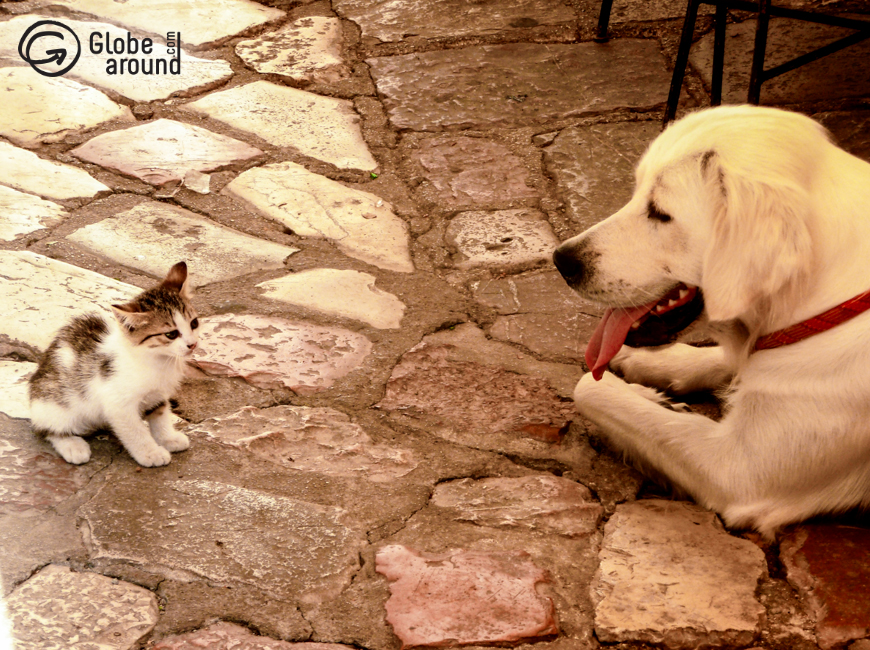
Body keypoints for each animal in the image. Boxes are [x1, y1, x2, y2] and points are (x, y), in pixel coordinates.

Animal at [29, 261, 199, 467]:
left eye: (194, 323)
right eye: (171, 334)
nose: (192, 344)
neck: (157, 359)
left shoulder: (157, 394)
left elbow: (161, 417)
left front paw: (168, 438)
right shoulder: (118, 404)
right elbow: (135, 431)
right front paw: (150, 453)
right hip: (56, 405)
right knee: (47, 429)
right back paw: (72, 446)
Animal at [553, 105, 870, 537]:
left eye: (660, 213)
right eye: (635, 191)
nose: (561, 260)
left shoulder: (738, 471)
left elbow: (588, 386)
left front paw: (648, 398)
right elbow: (724, 359)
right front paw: (655, 376)